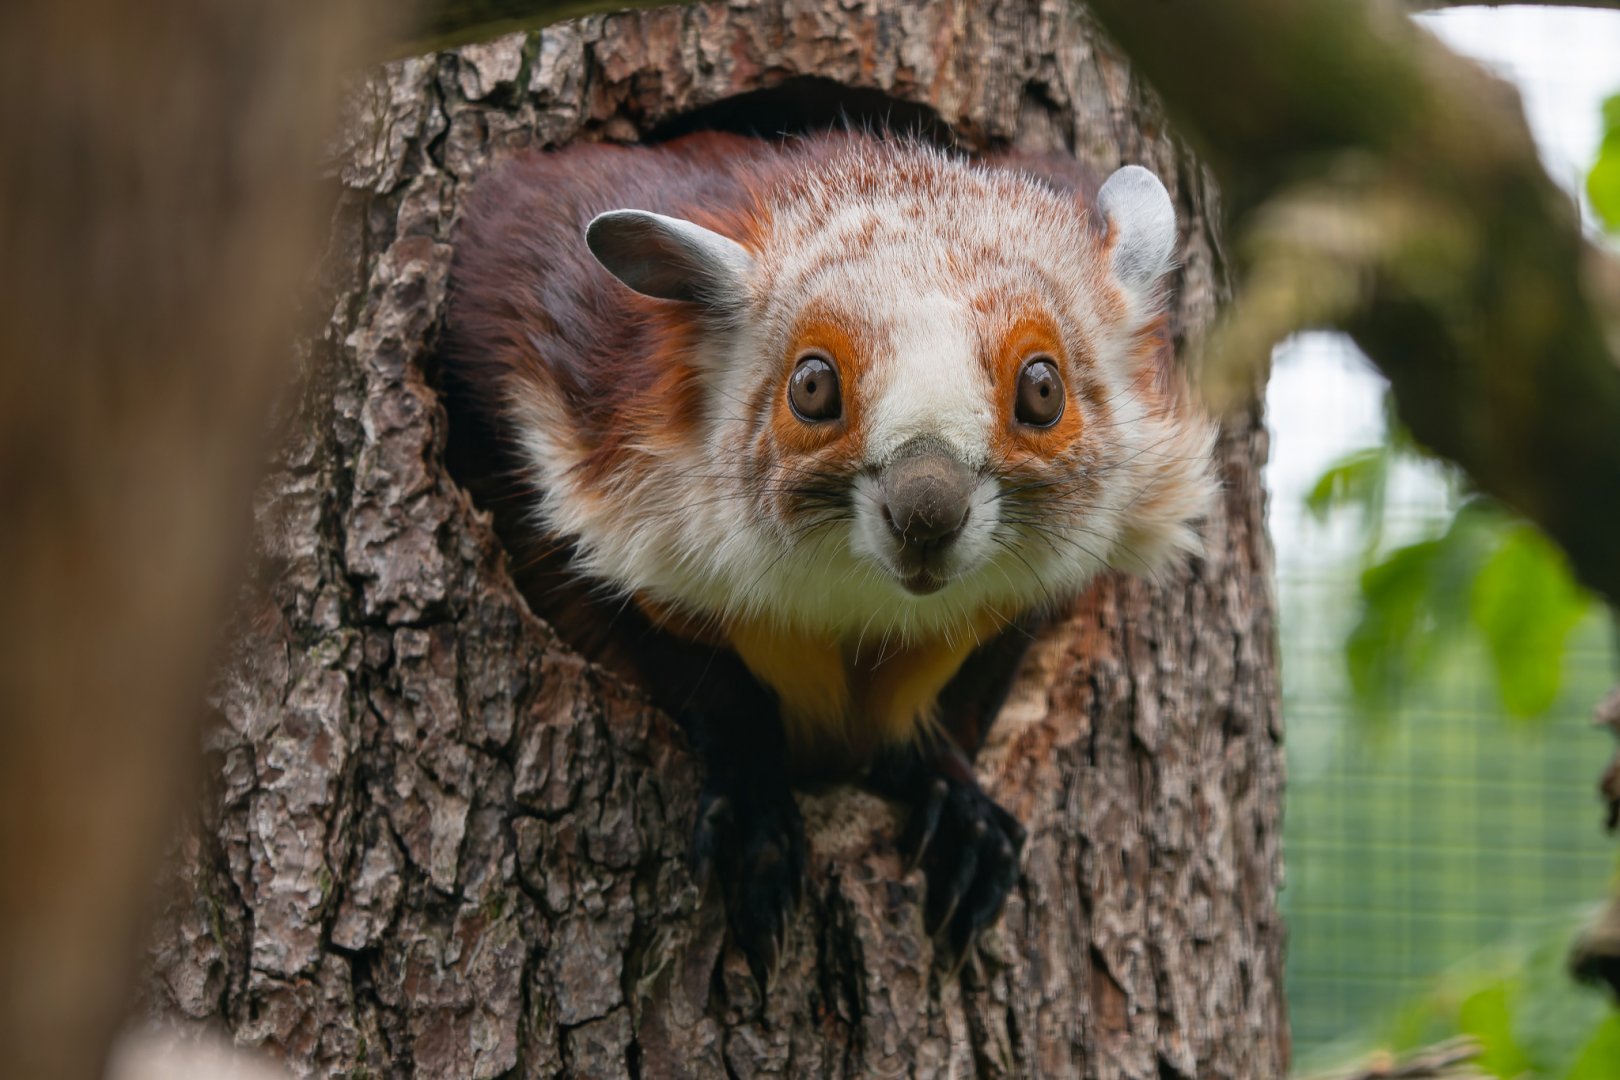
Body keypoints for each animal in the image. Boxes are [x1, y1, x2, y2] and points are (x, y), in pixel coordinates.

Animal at [442, 129, 1216, 986]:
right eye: (812, 386)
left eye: (1042, 389)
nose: (926, 511)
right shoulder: (551, 400)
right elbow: (685, 666)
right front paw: (753, 814)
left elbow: (963, 705)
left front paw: (961, 811)